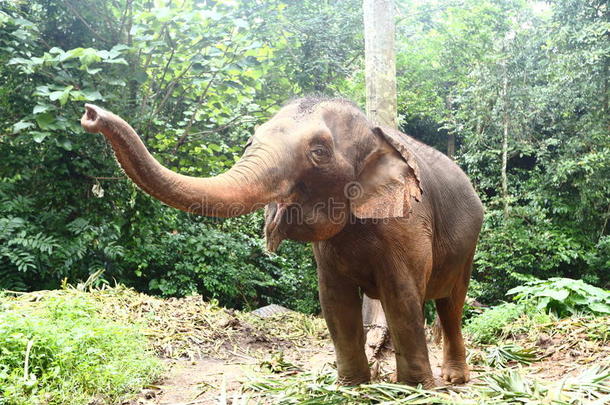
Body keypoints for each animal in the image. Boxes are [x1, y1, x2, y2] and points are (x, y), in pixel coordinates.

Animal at [81, 97, 482, 386]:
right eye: (250, 140)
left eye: (319, 151)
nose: (90, 113)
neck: (376, 134)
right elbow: (334, 300)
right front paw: (351, 386)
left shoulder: (408, 222)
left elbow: (401, 295)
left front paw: (414, 390)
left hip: (468, 246)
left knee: (451, 305)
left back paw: (454, 380)